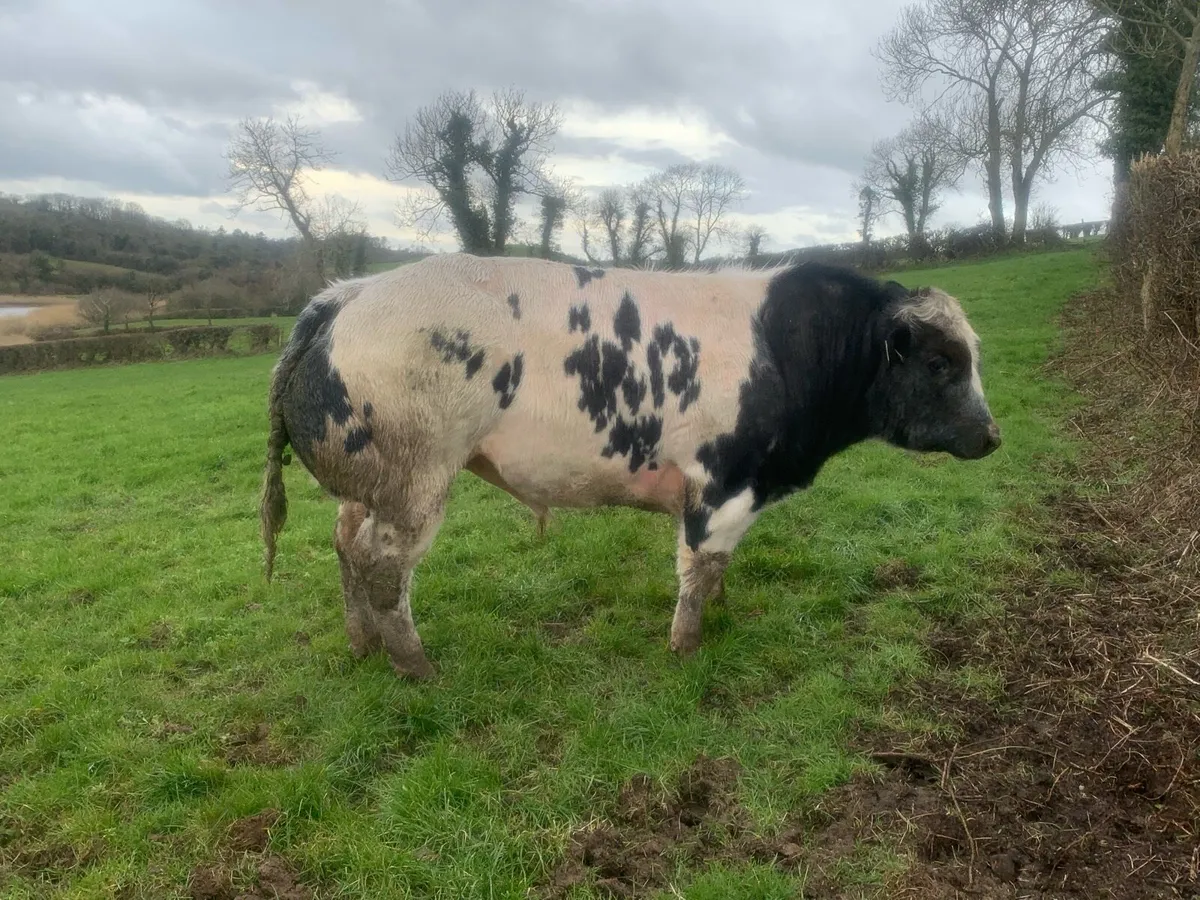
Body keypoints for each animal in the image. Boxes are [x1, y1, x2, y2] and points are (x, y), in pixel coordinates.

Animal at [260, 253, 1000, 679]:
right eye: (941, 362)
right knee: (384, 567)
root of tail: (347, 295)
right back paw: (417, 669)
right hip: (415, 483)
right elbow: (699, 568)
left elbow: (717, 570)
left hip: (367, 484)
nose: (992, 436)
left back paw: (362, 645)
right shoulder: (722, 484)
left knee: (345, 545)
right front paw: (687, 648)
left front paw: (721, 614)